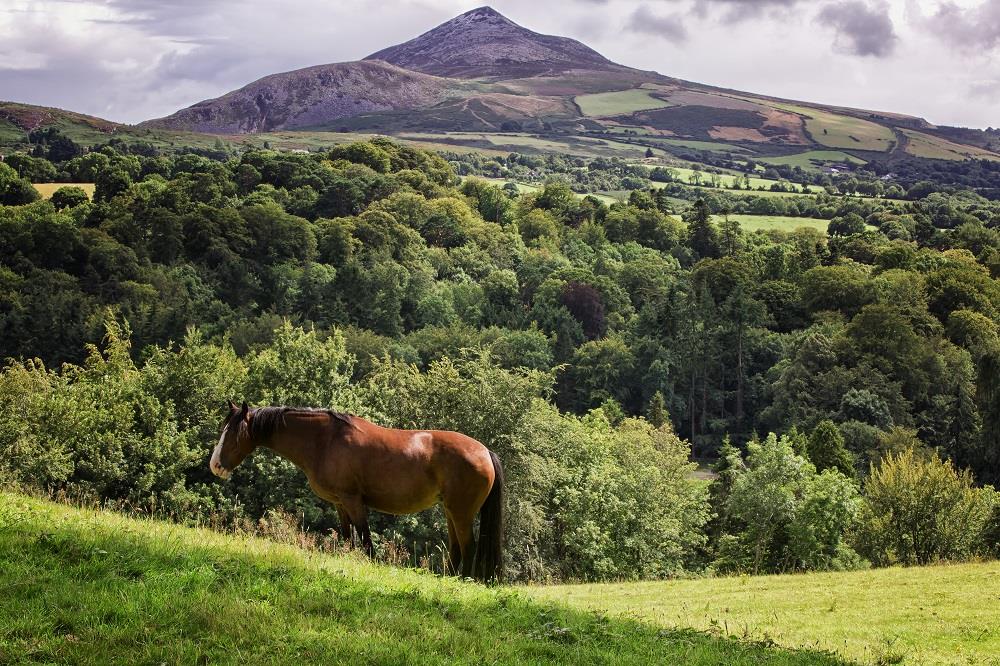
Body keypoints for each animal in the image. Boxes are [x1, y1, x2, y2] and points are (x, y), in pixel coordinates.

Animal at [208, 400, 504, 580]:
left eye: (233, 433)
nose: (215, 466)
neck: (325, 441)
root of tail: (485, 452)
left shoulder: (353, 501)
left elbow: (365, 540)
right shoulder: (340, 503)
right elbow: (348, 537)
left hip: (461, 512)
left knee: (468, 546)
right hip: (450, 511)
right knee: (456, 548)